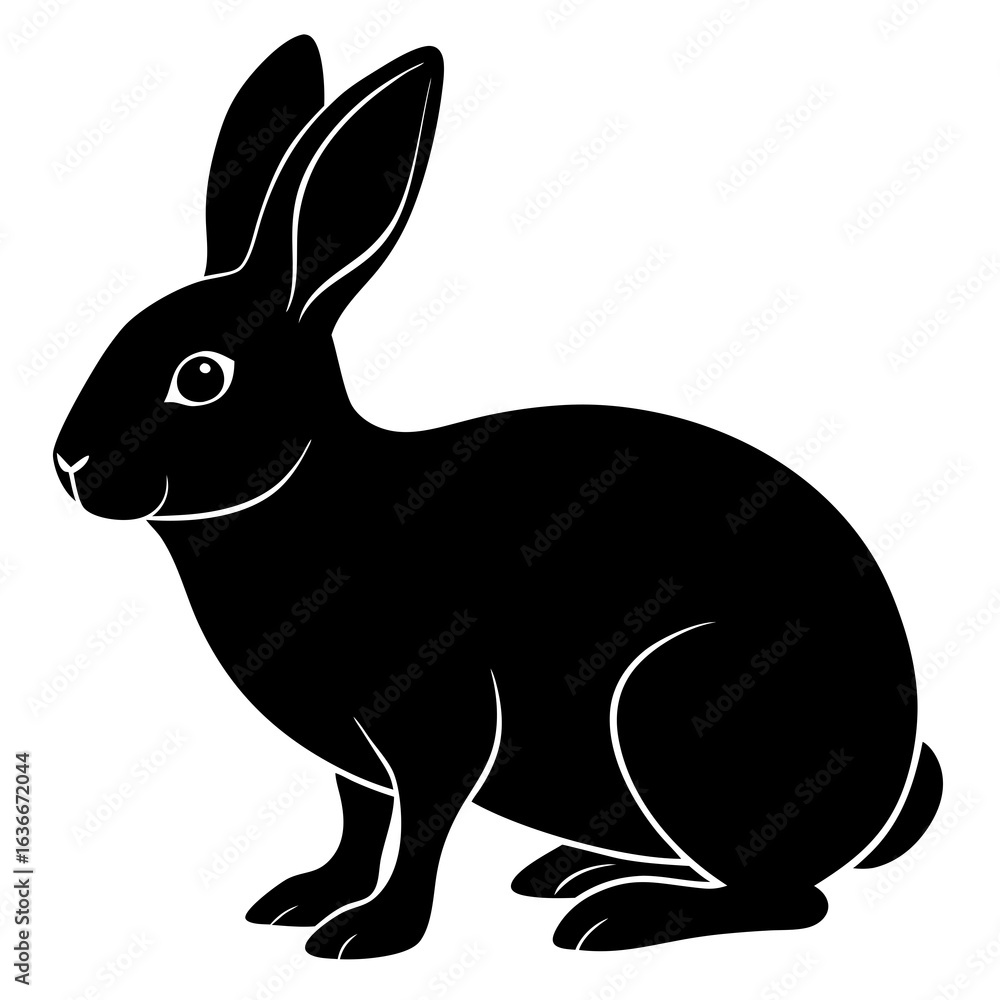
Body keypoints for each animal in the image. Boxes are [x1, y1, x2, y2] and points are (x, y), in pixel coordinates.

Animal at [54, 36, 943, 959]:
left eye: (201, 376)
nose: (68, 463)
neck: (307, 493)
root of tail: (893, 783)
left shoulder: (441, 721)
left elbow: (422, 826)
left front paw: (369, 933)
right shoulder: (351, 757)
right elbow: (360, 822)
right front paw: (307, 898)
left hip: (678, 707)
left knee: (792, 899)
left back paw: (618, 917)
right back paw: (571, 872)